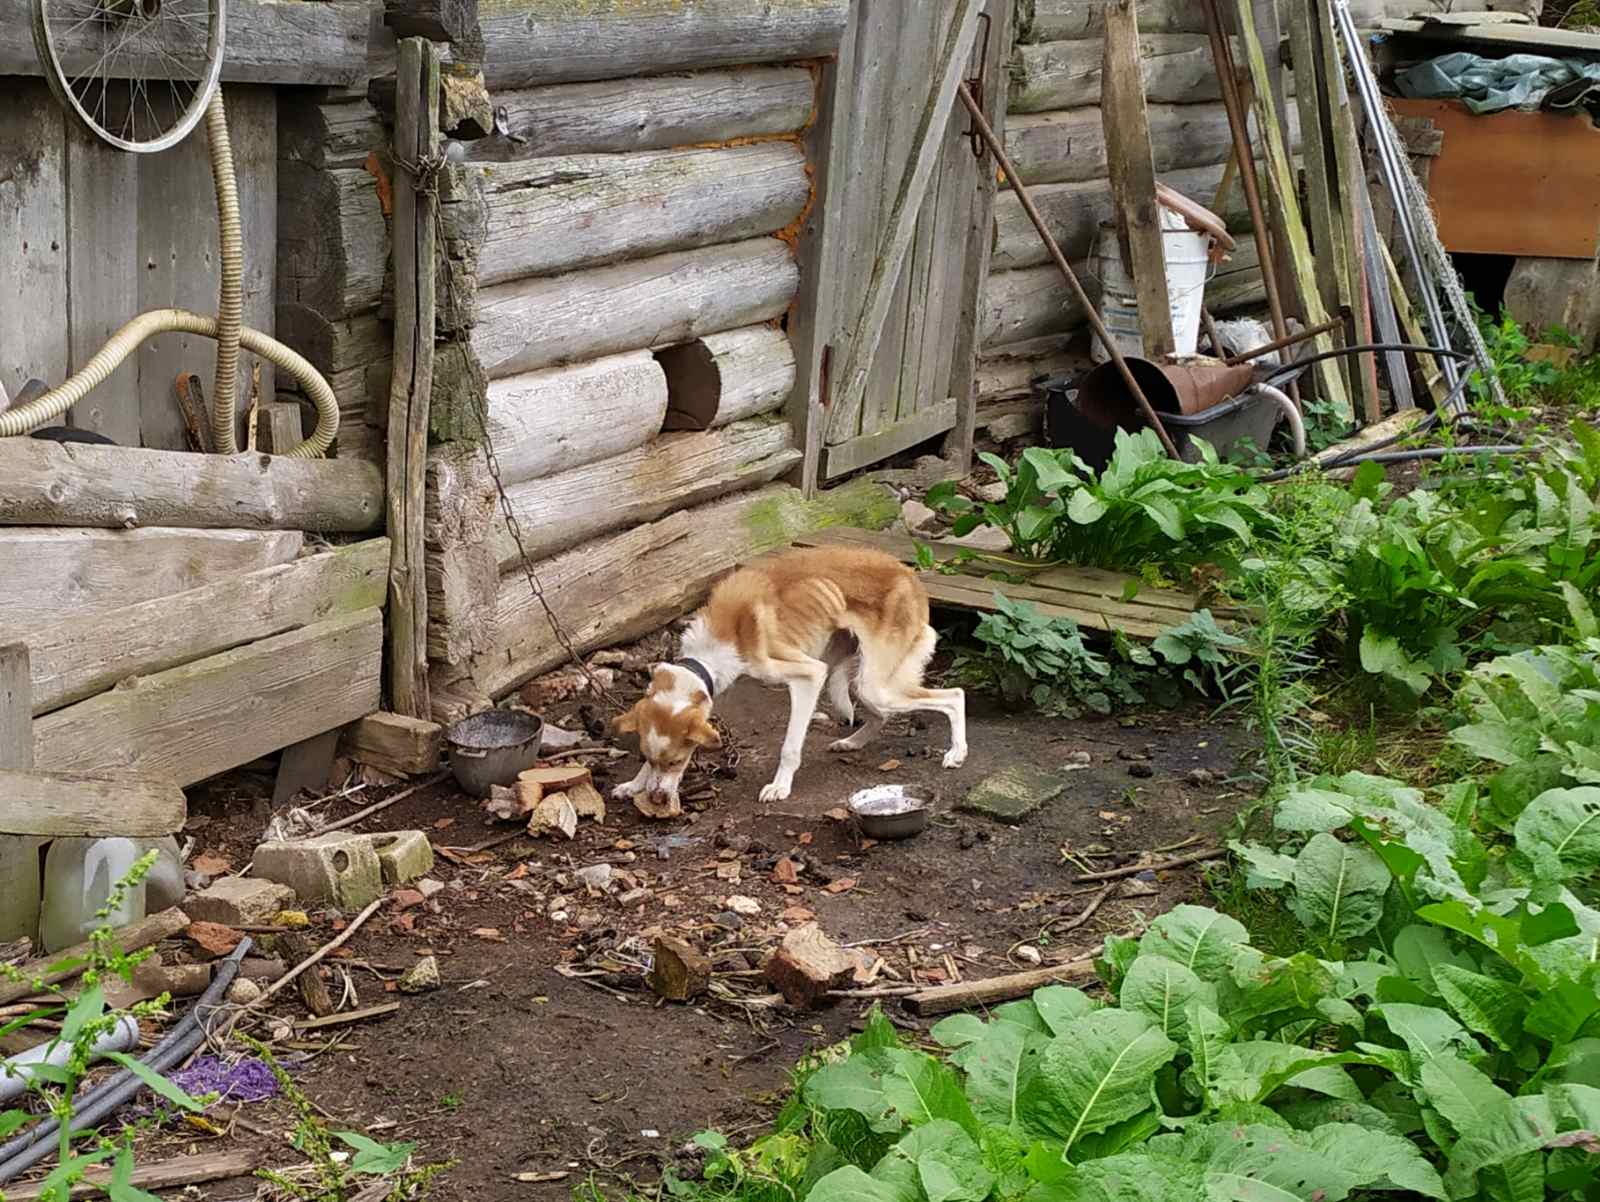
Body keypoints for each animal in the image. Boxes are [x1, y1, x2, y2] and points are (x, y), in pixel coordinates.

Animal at [611, 545, 967, 816]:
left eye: (677, 761)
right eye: (649, 759)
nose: (656, 799)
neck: (720, 641)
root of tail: (910, 576)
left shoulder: (809, 675)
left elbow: (790, 748)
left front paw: (780, 786)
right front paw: (634, 783)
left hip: (876, 685)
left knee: (954, 696)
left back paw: (956, 752)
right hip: (863, 681)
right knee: (881, 715)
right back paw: (852, 742)